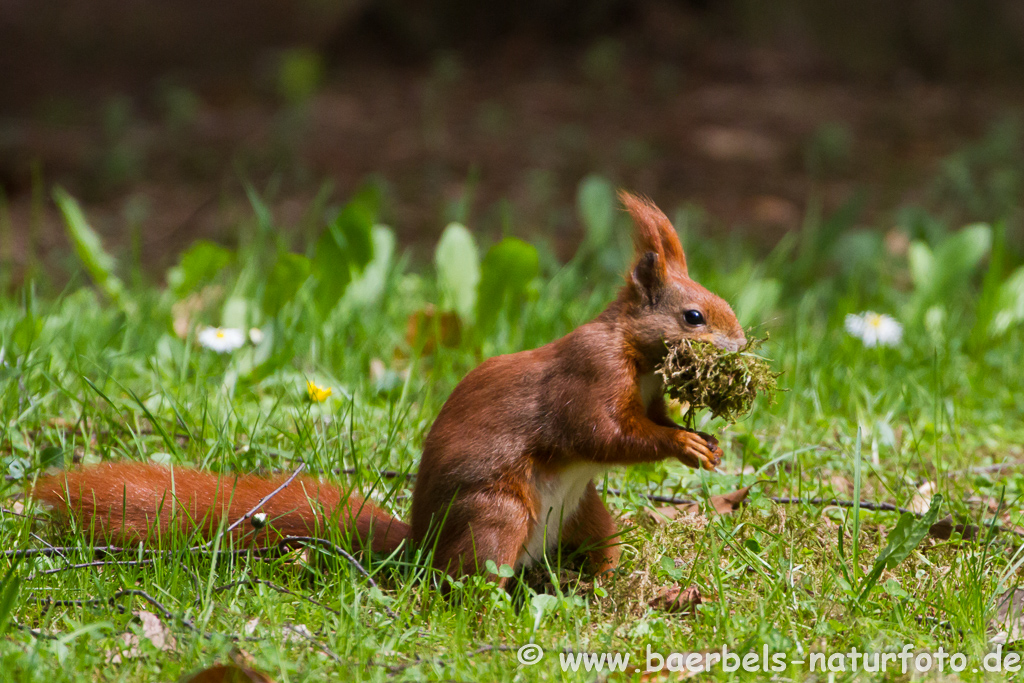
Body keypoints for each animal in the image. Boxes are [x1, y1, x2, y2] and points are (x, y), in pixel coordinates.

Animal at [36, 192, 749, 589]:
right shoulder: (588, 374)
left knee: (589, 550)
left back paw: (606, 584)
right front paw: (684, 445)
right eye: (693, 316)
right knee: (465, 580)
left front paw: (703, 437)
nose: (742, 347)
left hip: (586, 514)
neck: (634, 351)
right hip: (498, 515)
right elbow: (603, 432)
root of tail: (420, 545)